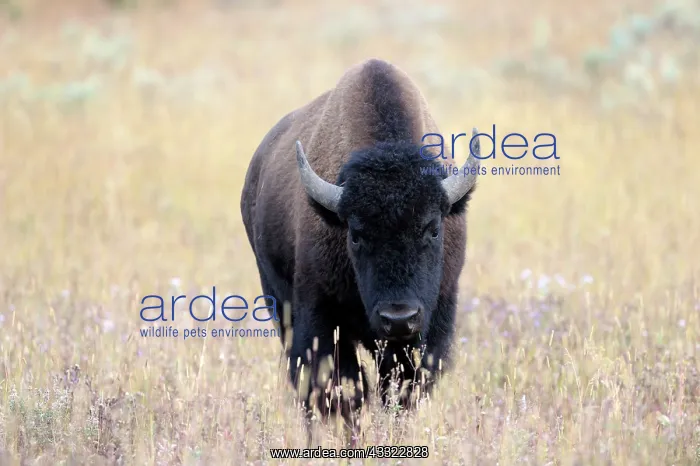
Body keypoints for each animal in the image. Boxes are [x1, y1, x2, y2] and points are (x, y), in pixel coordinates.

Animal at [240, 58, 480, 436]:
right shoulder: (319, 319)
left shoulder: (431, 327)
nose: (399, 317)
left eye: (432, 229)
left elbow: (400, 391)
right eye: (355, 234)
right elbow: (343, 391)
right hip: (278, 302)